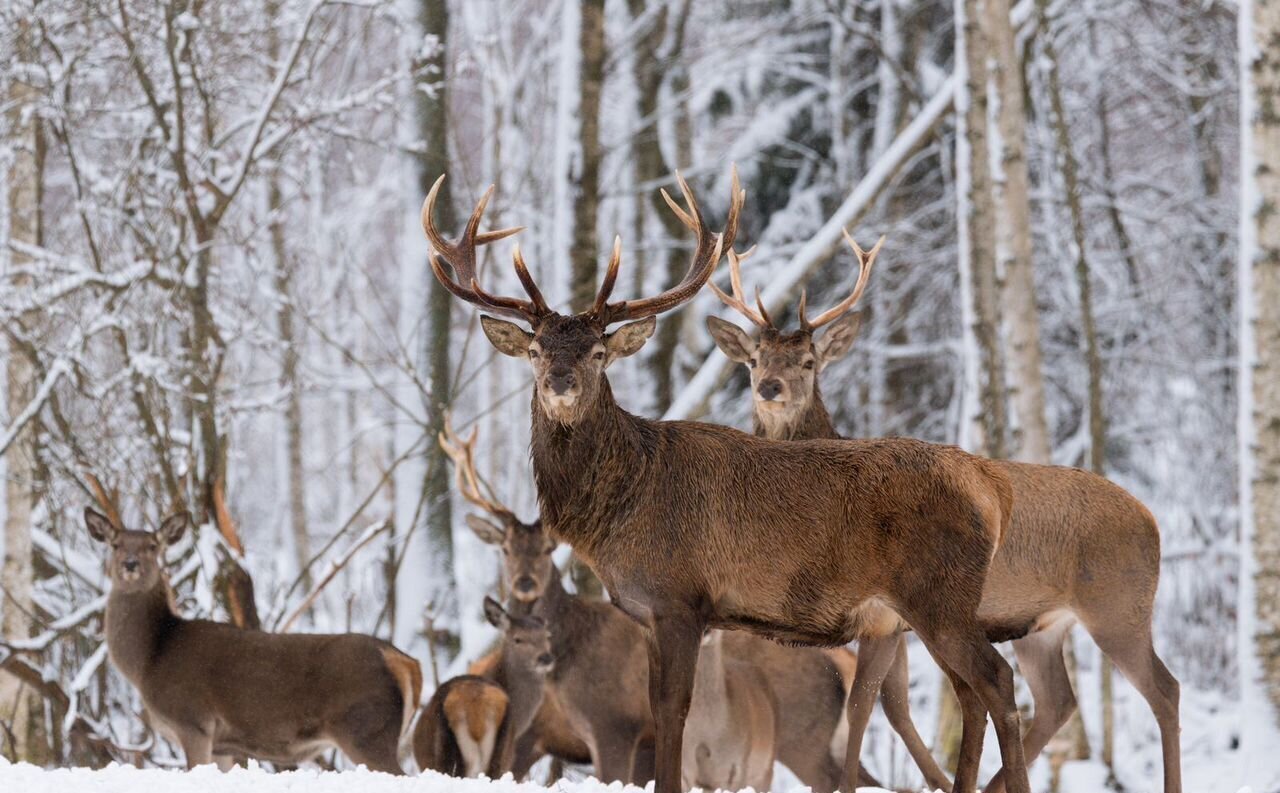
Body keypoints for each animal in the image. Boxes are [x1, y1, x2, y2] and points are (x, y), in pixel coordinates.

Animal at [86, 509, 424, 772]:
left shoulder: (193, 721)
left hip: (365, 728)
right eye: (116, 544)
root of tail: (403, 660)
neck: (149, 660)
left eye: (153, 545)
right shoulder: (222, 746)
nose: (130, 564)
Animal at [445, 416, 885, 787]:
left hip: (802, 736)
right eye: (504, 548)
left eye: (546, 550)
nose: (524, 582)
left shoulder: (612, 726)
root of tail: (842, 662)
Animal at [706, 235, 1182, 793]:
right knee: (1057, 701)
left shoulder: (892, 617)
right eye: (754, 360)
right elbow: (892, 705)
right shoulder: (891, 620)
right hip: (1042, 628)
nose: (770, 388)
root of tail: (1152, 519)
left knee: (1163, 689)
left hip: (1118, 605)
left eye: (808, 361)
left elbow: (886, 705)